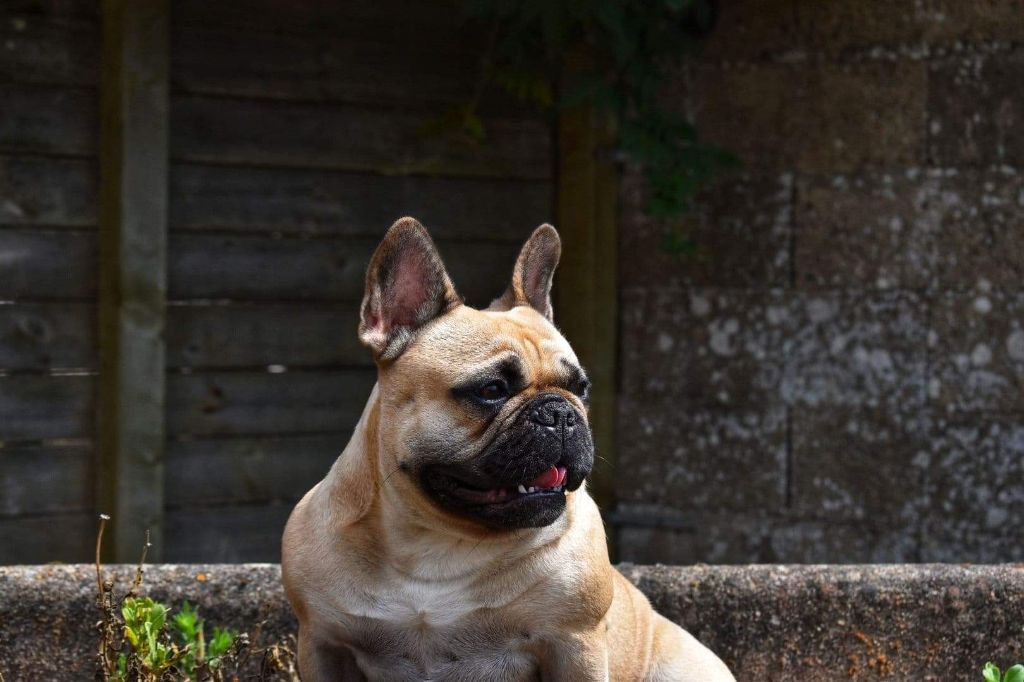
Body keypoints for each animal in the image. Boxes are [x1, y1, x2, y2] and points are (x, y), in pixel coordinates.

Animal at [280, 219, 737, 679]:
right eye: (491, 390)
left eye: (581, 389)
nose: (561, 413)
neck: (435, 544)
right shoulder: (322, 643)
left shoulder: (575, 644)